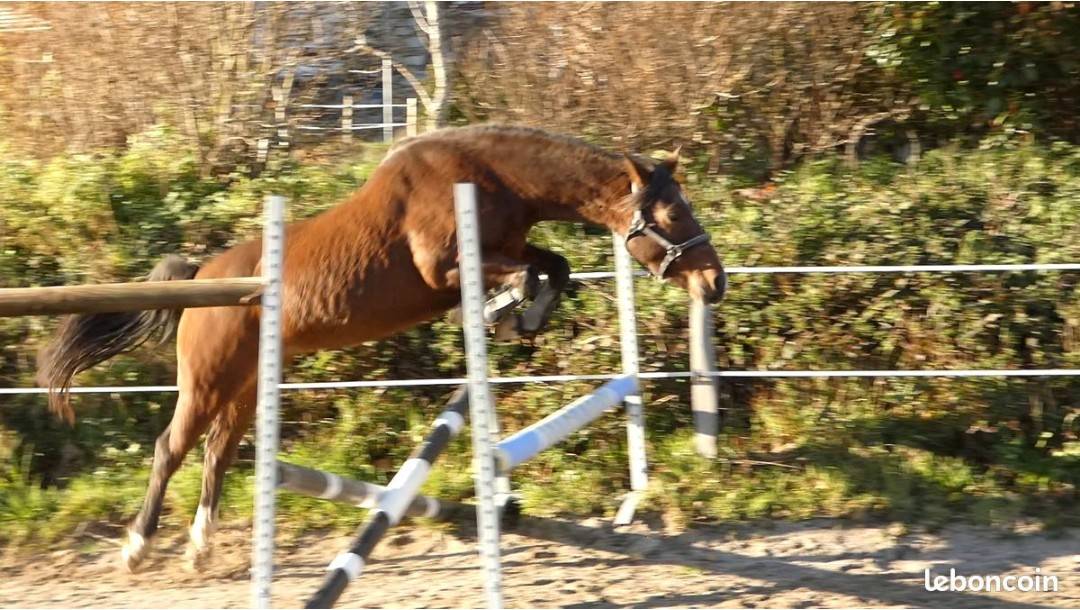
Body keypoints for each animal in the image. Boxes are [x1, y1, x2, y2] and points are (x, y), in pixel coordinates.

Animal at [36, 124, 727, 572]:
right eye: (670, 217)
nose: (713, 283)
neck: (492, 176)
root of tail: (204, 275)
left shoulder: (507, 247)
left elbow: (552, 266)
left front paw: (517, 319)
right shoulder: (448, 267)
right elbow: (530, 273)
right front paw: (506, 312)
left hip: (246, 384)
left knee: (217, 452)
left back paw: (200, 547)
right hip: (207, 380)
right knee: (171, 448)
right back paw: (138, 549)